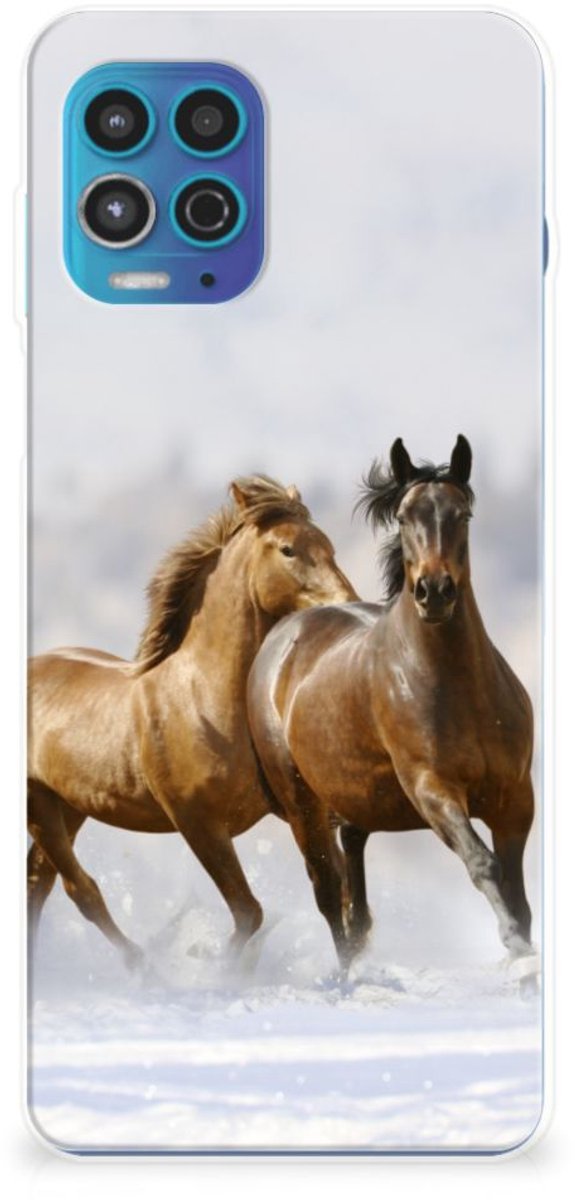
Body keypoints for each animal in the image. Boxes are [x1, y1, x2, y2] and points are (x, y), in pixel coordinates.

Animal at [28, 476, 357, 969]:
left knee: (40, 883)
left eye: (329, 545)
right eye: (288, 549)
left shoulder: (300, 809)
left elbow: (332, 889)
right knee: (77, 889)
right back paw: (143, 965)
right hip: (41, 806)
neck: (205, 699)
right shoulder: (197, 822)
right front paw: (216, 967)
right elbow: (249, 912)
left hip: (69, 806)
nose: (348, 605)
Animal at [247, 437, 535, 971]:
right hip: (302, 804)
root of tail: (282, 636)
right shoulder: (432, 789)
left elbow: (517, 890)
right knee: (328, 891)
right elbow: (483, 864)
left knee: (353, 883)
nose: (434, 592)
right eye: (403, 517)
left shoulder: (515, 798)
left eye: (463, 514)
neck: (460, 690)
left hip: (354, 799)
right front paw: (516, 949)